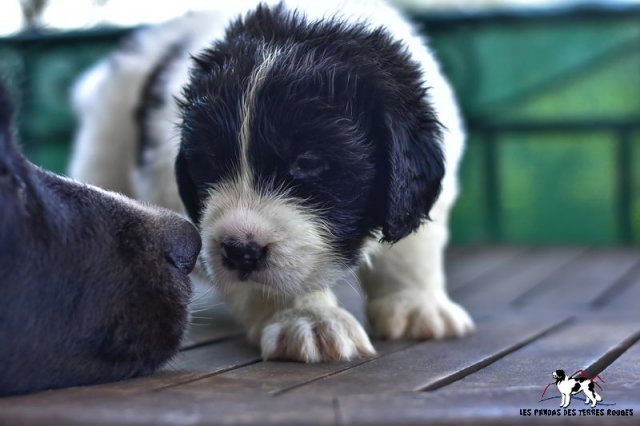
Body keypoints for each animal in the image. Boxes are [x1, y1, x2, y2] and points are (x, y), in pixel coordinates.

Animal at [70, 0, 474, 363]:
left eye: (308, 162)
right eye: (210, 162)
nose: (239, 251)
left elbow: (411, 251)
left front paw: (416, 305)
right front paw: (308, 319)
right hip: (106, 146)